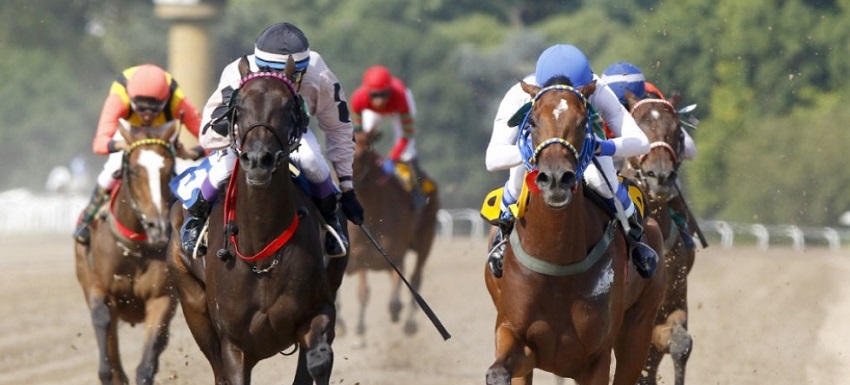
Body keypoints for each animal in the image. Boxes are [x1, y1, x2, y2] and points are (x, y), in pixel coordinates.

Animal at [73, 118, 179, 382]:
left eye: (169, 171)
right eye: (132, 170)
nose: (157, 226)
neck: (135, 248)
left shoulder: (163, 298)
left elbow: (147, 363)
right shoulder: (99, 288)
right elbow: (102, 321)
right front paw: (108, 373)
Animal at [166, 57, 342, 384]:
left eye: (288, 105)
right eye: (241, 105)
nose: (259, 160)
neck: (263, 246)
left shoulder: (320, 308)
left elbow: (319, 359)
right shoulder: (233, 345)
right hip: (193, 306)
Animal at [342, 128, 440, 336]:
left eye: (365, 152)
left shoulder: (395, 254)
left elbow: (396, 293)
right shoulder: (359, 256)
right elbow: (362, 291)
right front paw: (357, 329)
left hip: (425, 239)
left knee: (416, 278)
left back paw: (409, 323)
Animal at [486, 79, 664, 382]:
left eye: (582, 123)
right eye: (532, 122)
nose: (556, 178)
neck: (556, 260)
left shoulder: (595, 359)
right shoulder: (513, 334)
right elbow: (498, 372)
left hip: (638, 328)